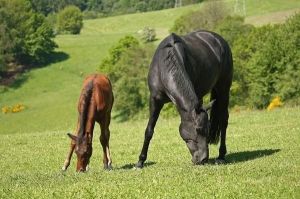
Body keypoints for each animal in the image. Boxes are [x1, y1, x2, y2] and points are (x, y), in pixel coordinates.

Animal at [137, 30, 233, 167]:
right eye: (198, 130)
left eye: (208, 129)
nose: (203, 159)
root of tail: (219, 39)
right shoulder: (155, 100)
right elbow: (149, 130)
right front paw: (140, 161)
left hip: (224, 89)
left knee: (224, 120)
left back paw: (221, 155)